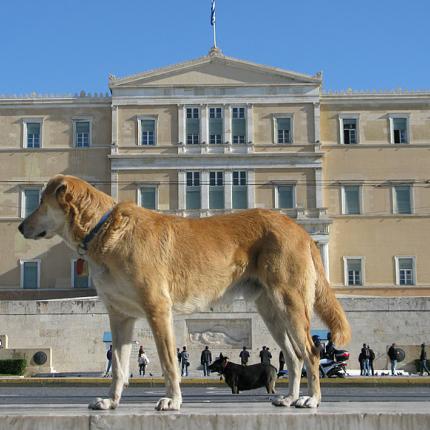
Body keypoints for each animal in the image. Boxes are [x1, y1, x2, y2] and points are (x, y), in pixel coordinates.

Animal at [18, 174, 352, 410]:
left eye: (42, 202)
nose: (21, 227)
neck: (104, 230)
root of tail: (298, 228)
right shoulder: (120, 318)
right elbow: (119, 369)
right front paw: (111, 401)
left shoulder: (158, 311)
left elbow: (169, 364)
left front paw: (173, 401)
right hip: (272, 312)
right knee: (294, 358)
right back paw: (289, 398)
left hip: (291, 305)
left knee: (311, 352)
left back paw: (311, 399)